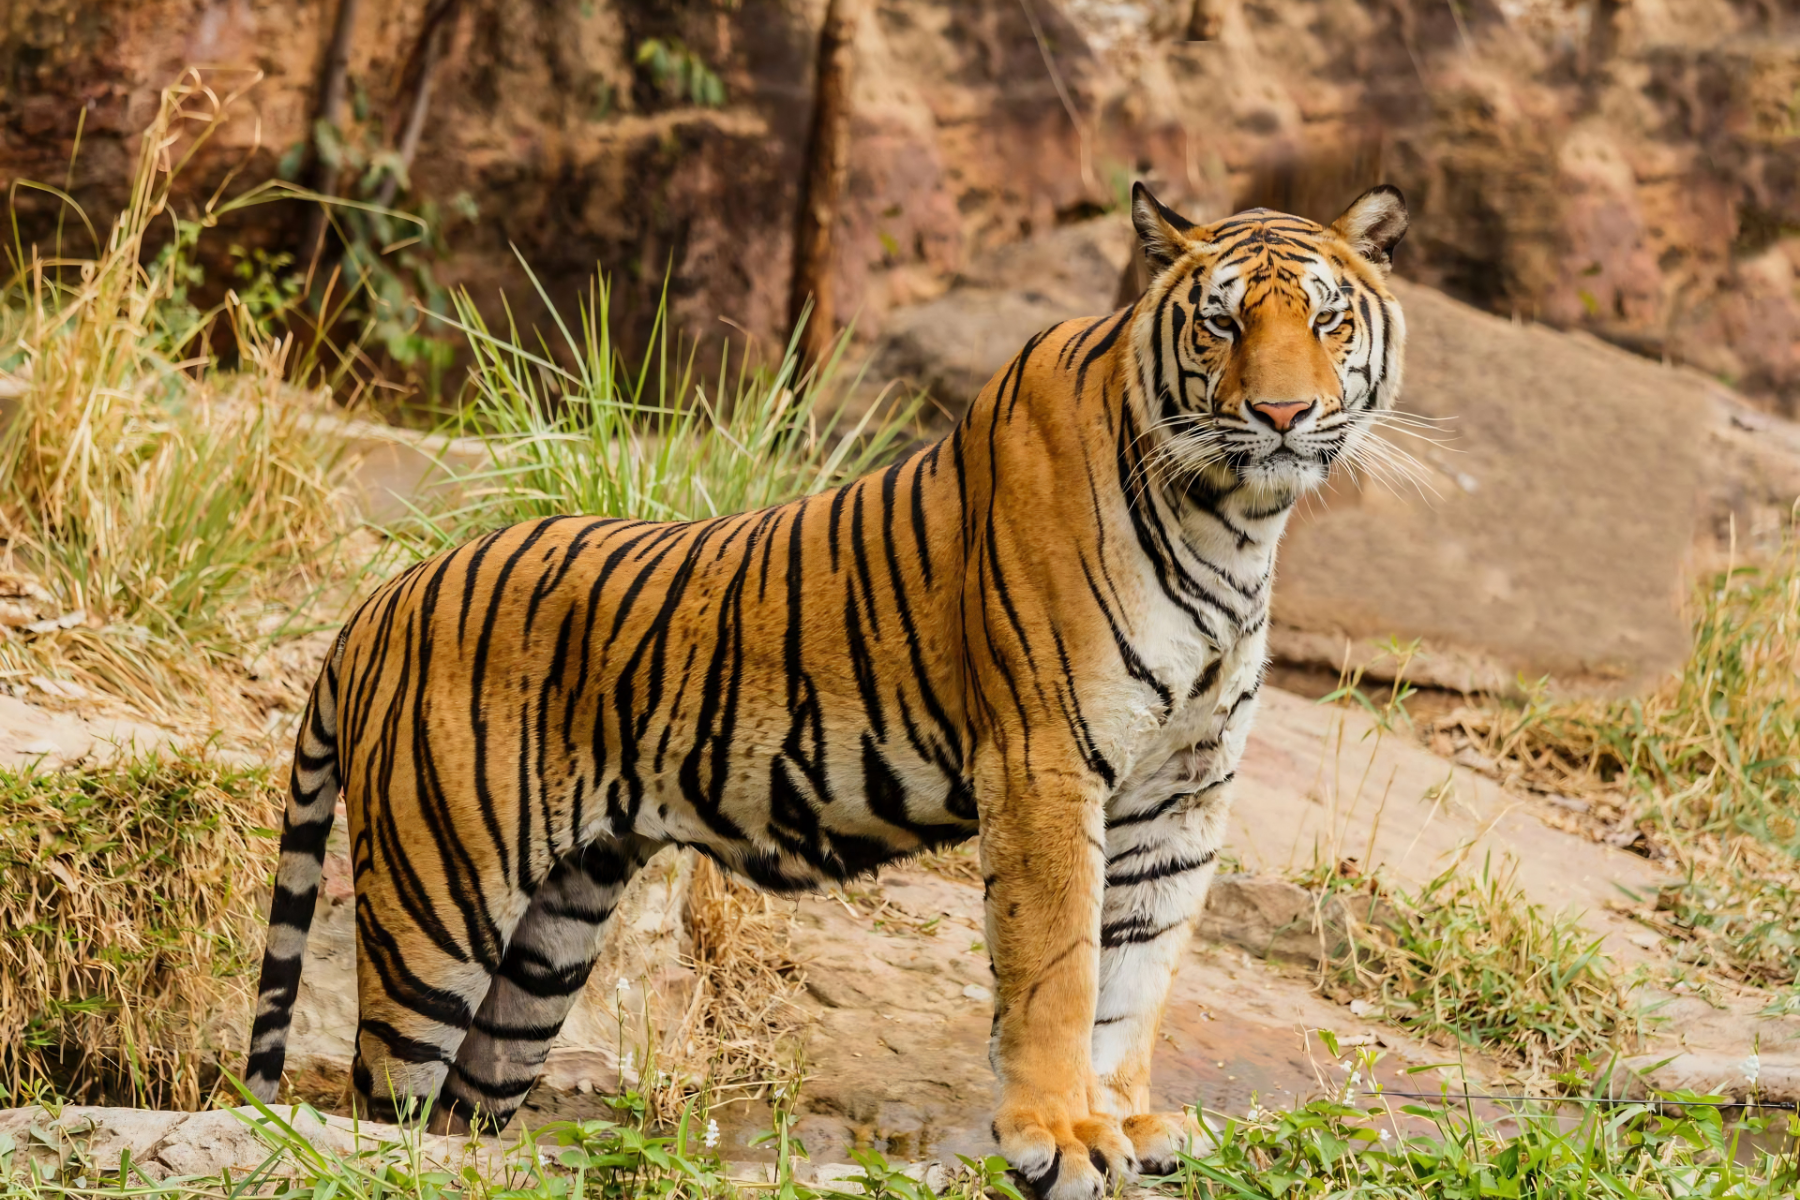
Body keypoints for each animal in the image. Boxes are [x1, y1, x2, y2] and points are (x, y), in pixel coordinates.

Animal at [244, 182, 1408, 1200]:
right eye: (1221, 324)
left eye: (1327, 318)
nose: (1283, 411)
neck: (1236, 521)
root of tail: (378, 601)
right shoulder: (1045, 762)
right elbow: (1061, 968)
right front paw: (1061, 1137)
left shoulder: (1182, 791)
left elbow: (1138, 974)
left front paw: (1122, 1121)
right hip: (436, 903)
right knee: (380, 1100)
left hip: (549, 941)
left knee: (462, 1110)